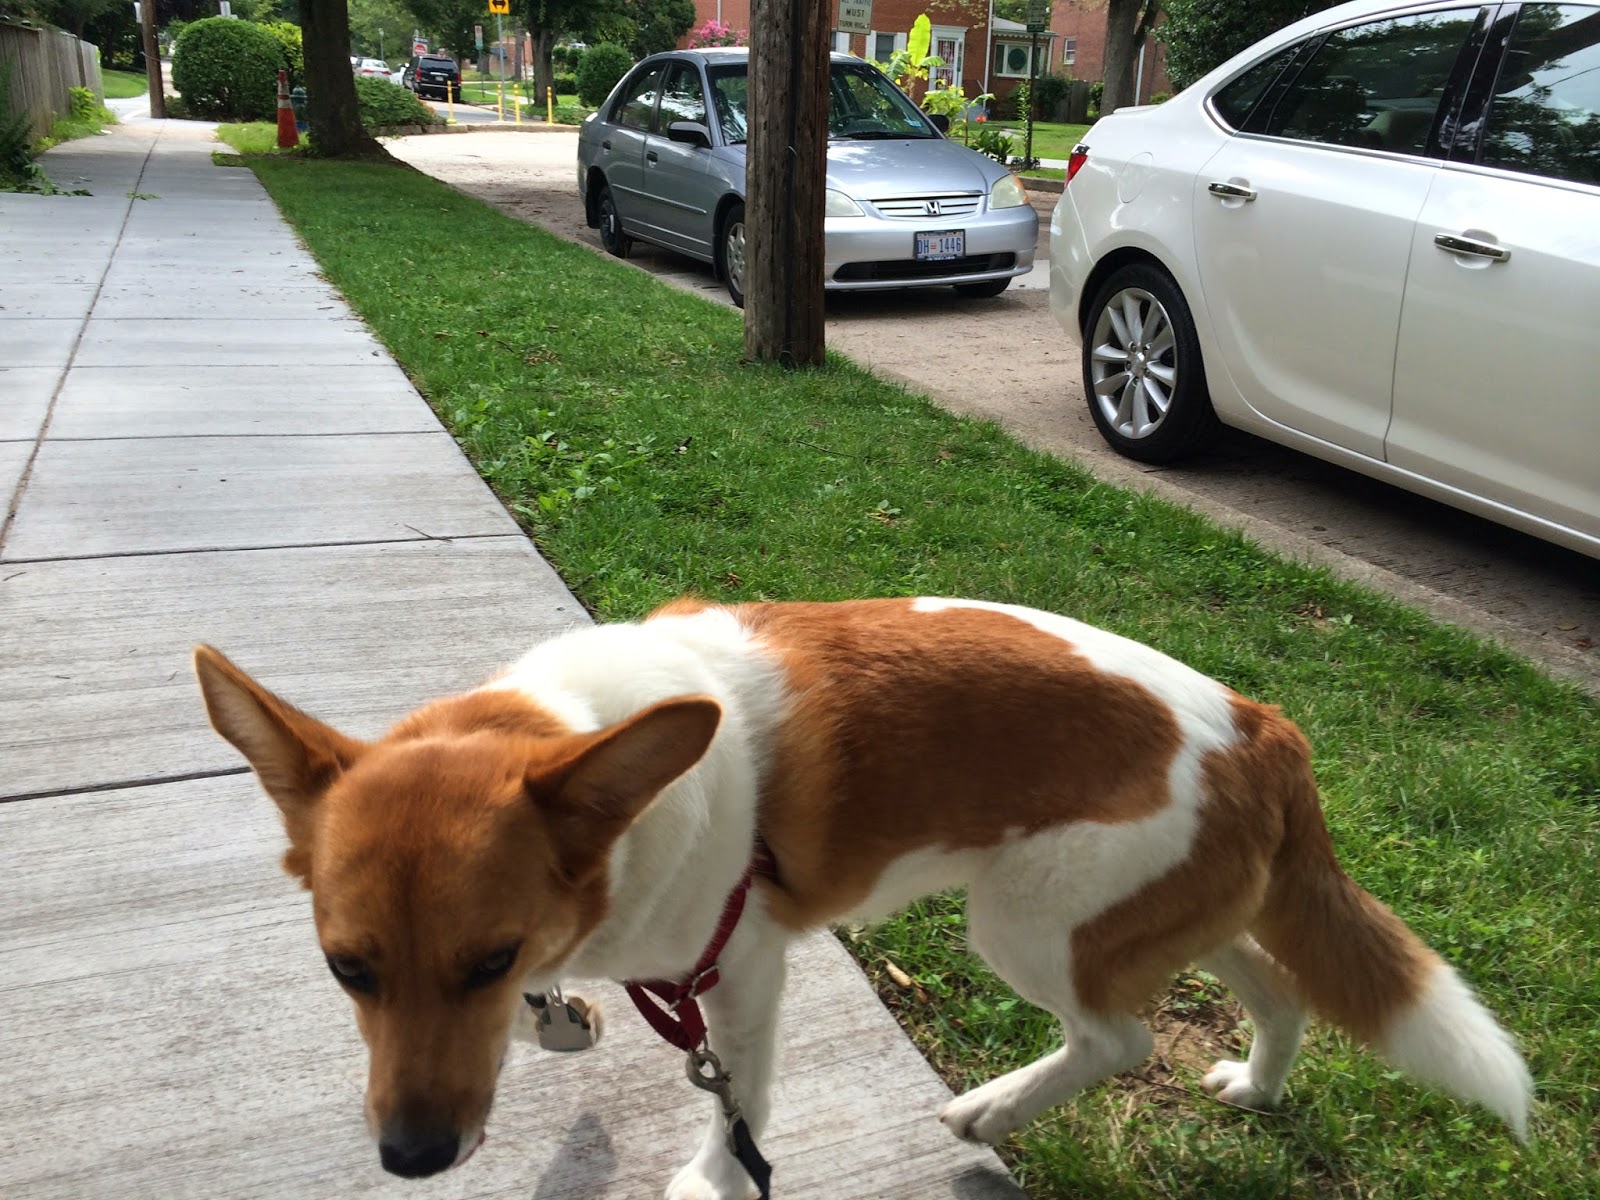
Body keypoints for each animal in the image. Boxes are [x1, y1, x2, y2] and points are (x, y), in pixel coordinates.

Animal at [194, 596, 1531, 1197]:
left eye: (482, 958)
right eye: (346, 969)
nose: (414, 1159)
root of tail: (1258, 726)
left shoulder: (739, 972)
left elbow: (735, 1106)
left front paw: (711, 1178)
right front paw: (558, 1017)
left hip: (1028, 922)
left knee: (1117, 1037)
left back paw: (993, 1111)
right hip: (1169, 907)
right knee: (1270, 980)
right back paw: (1257, 1082)